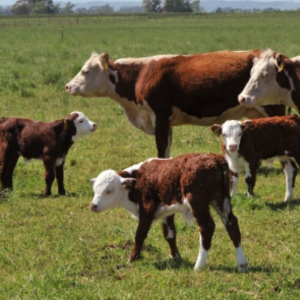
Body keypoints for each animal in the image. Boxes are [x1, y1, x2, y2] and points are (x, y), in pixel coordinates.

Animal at [65, 51, 286, 159]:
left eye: (85, 71)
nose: (67, 86)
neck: (140, 75)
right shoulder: (166, 121)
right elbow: (168, 148)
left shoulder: (160, 117)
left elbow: (161, 149)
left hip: (273, 109)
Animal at [89, 154, 248, 274]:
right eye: (95, 190)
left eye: (109, 190)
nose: (93, 205)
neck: (137, 180)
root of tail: (215, 158)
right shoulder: (166, 212)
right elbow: (170, 234)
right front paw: (175, 257)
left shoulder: (147, 210)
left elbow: (139, 235)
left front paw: (132, 258)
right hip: (221, 199)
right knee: (231, 224)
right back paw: (242, 263)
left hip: (198, 203)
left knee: (207, 227)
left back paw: (198, 266)